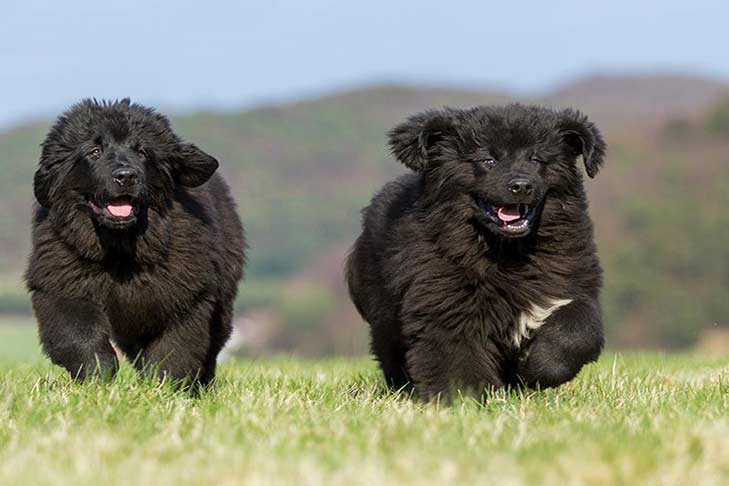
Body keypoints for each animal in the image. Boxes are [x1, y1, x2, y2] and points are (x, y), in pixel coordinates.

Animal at [344, 103, 604, 398]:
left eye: (536, 159)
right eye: (488, 160)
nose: (521, 186)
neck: (507, 252)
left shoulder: (568, 286)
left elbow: (578, 330)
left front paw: (536, 368)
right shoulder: (445, 303)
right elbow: (456, 356)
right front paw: (465, 398)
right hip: (384, 316)